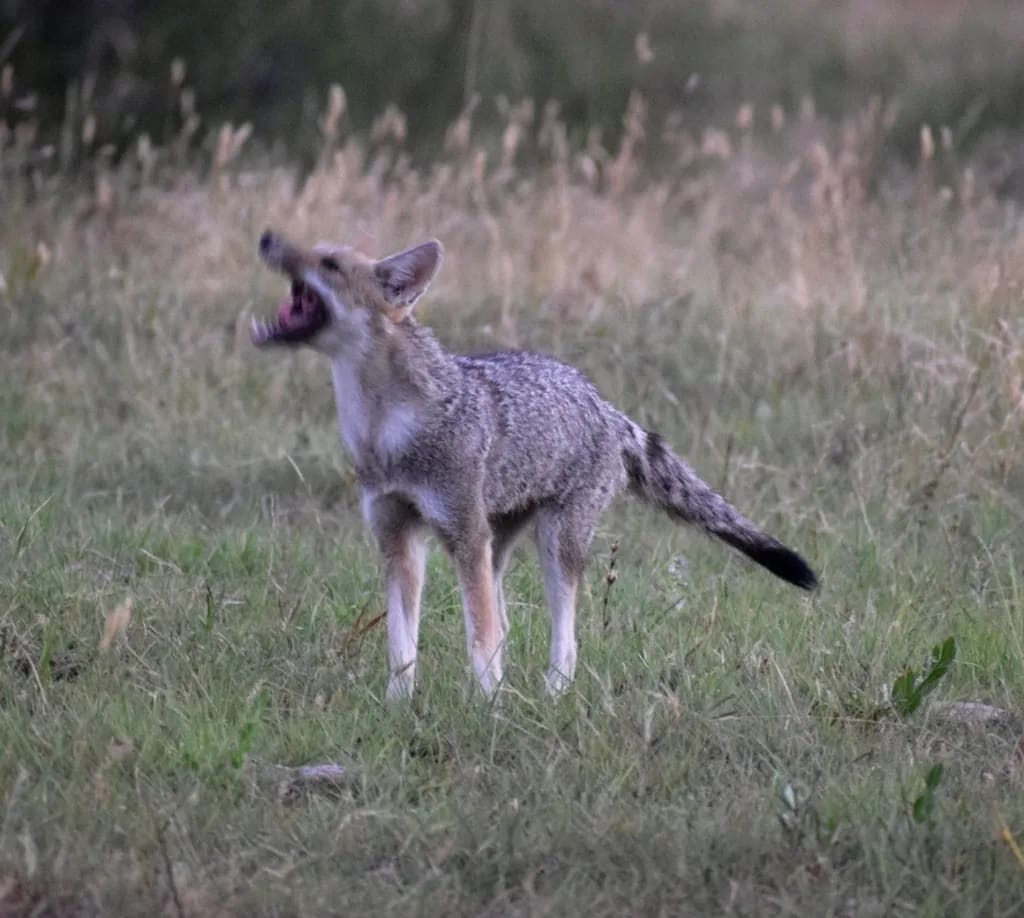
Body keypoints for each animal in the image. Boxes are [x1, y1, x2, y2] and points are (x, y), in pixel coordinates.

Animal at [251, 230, 818, 700]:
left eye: (328, 263)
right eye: (311, 248)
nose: (268, 237)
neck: (385, 429)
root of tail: (604, 405)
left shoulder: (461, 534)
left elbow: (478, 638)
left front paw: (485, 707)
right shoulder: (398, 537)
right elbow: (403, 644)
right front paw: (399, 705)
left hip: (552, 544)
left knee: (563, 638)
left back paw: (553, 693)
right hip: (497, 547)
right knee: (504, 621)